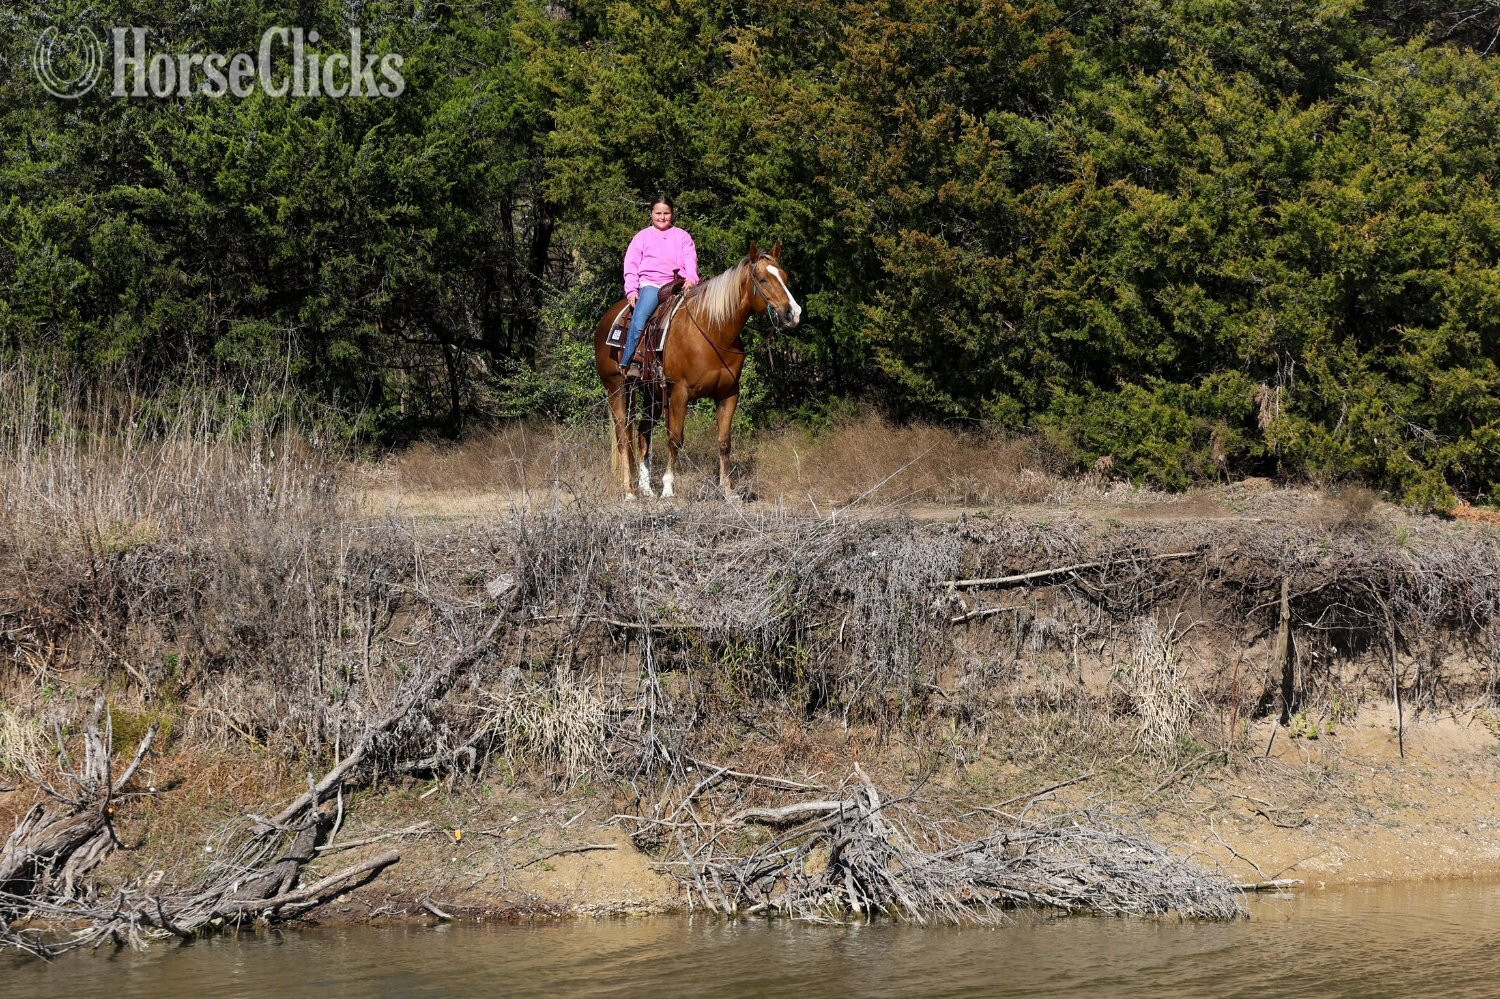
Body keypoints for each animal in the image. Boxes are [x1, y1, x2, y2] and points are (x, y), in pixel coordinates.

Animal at [594, 240, 802, 500]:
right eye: (763, 279)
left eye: (785, 276)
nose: (793, 313)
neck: (713, 331)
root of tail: (606, 320)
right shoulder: (680, 393)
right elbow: (675, 438)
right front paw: (668, 490)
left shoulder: (729, 394)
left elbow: (724, 441)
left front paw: (728, 490)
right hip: (617, 388)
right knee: (624, 436)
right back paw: (629, 492)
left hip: (652, 394)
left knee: (643, 433)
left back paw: (646, 489)